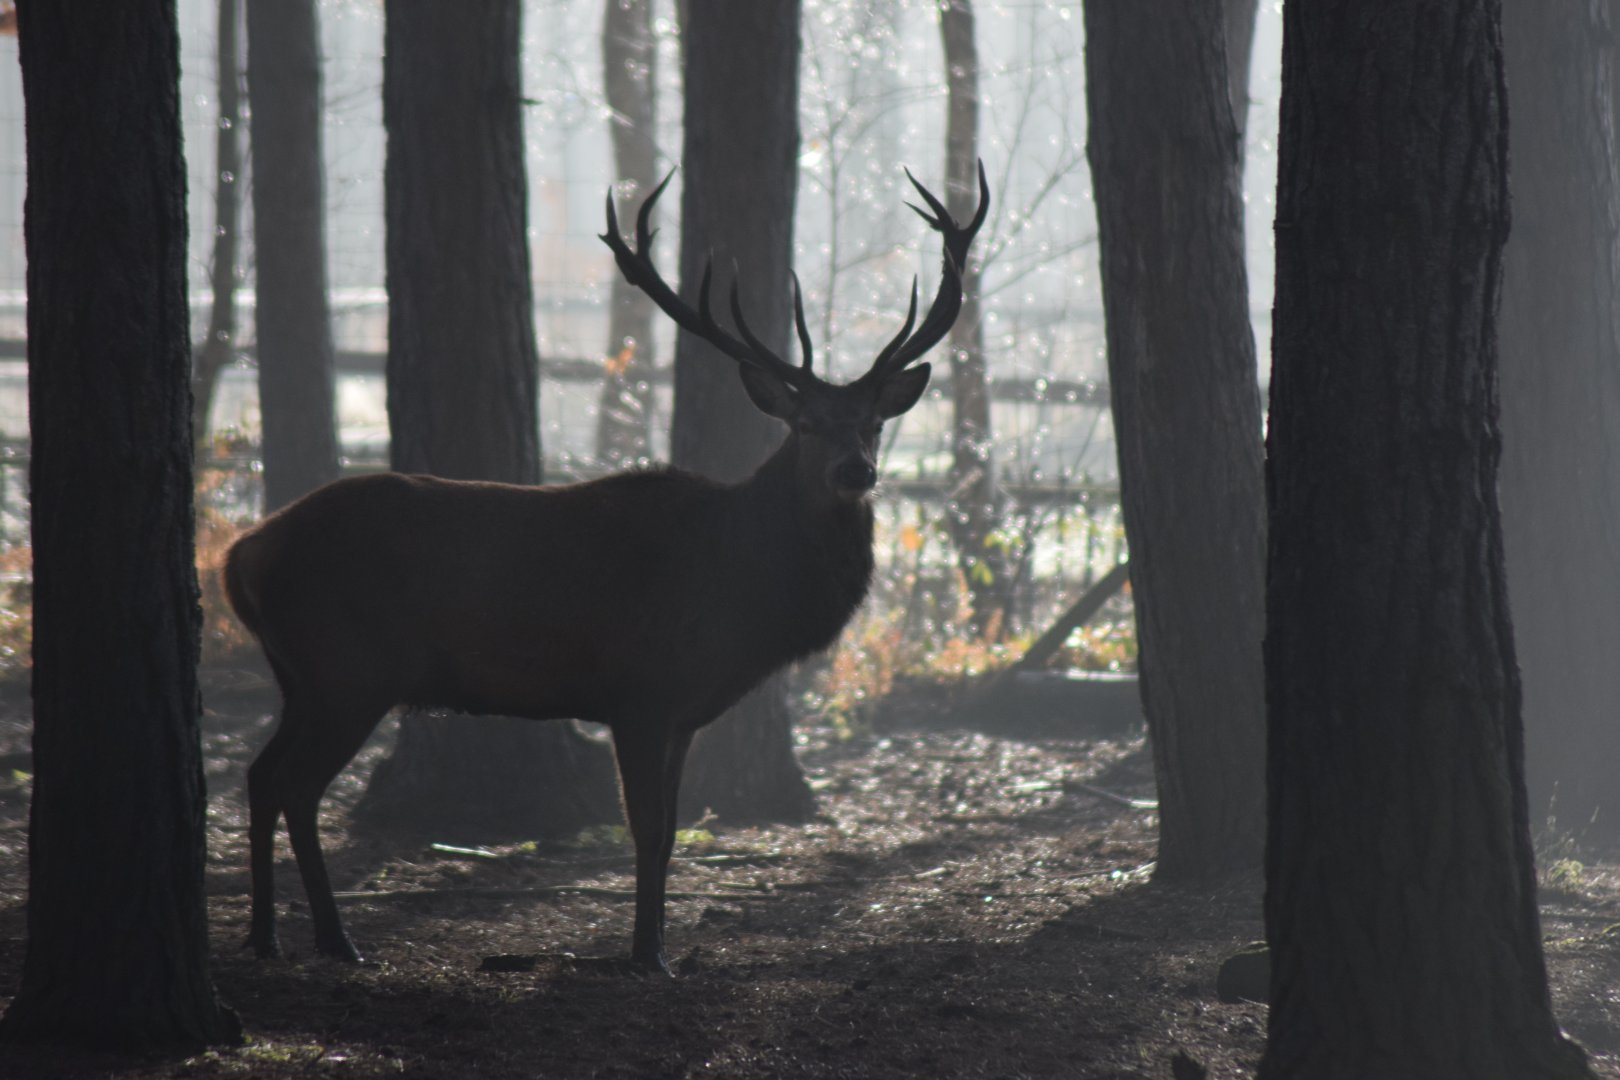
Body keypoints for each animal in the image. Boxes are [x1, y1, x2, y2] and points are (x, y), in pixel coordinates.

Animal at [225, 162, 988, 974]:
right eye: (806, 424)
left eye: (874, 423)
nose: (856, 471)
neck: (738, 593)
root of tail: (242, 553)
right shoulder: (639, 691)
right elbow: (646, 829)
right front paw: (645, 954)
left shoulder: (683, 710)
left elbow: (674, 832)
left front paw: (660, 946)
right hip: (349, 667)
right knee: (295, 784)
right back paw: (333, 939)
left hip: (302, 676)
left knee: (262, 775)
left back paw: (272, 935)